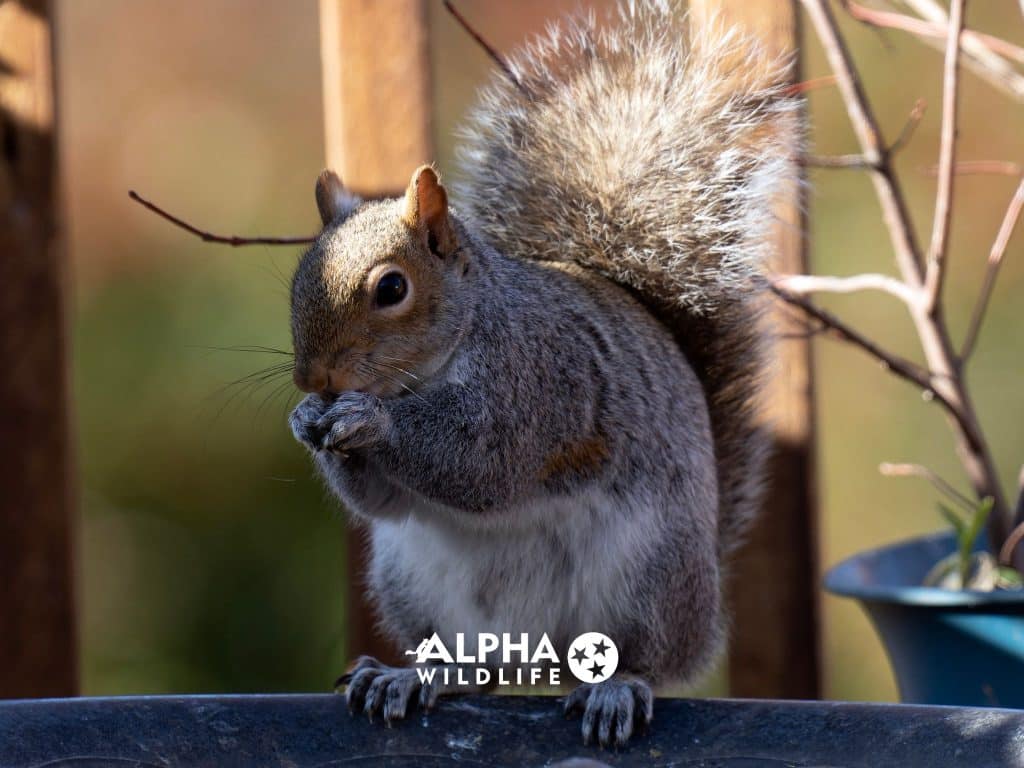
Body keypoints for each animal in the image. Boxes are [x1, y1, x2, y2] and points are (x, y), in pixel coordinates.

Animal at [288, 0, 798, 749]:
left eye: (391, 288)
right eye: (299, 277)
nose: (313, 380)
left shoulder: (540, 384)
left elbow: (480, 465)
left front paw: (368, 420)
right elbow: (385, 503)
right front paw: (308, 423)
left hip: (647, 576)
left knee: (652, 659)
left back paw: (617, 689)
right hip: (414, 587)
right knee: (472, 670)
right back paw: (413, 677)